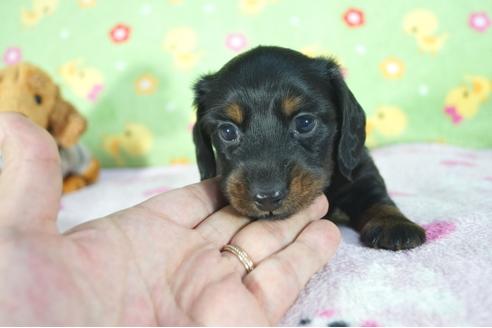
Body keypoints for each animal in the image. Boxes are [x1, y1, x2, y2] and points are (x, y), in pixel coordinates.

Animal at [193, 45, 426, 251]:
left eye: (304, 123)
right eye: (227, 131)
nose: (267, 198)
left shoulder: (361, 171)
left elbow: (376, 197)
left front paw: (394, 224)